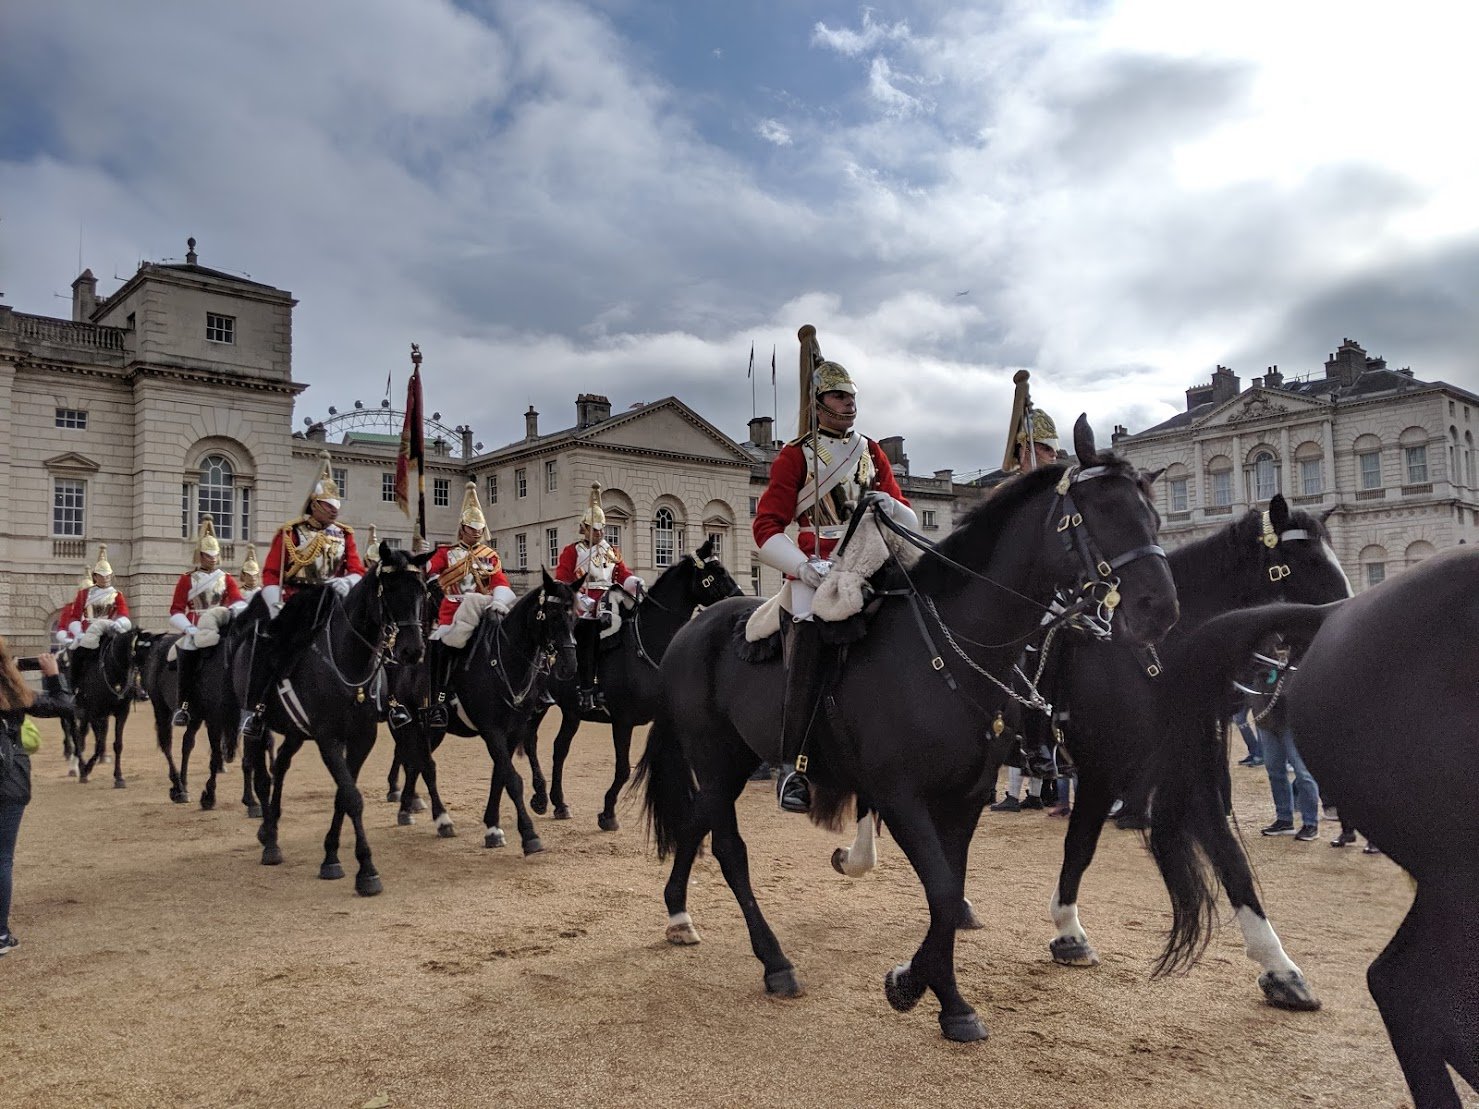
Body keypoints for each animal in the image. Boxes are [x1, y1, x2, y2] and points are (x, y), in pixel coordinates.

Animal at [72, 626, 151, 792]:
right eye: (138, 650)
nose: (144, 692)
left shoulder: (121, 713)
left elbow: (117, 744)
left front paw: (119, 777)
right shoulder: (96, 713)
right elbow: (100, 743)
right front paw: (86, 769)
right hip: (86, 712)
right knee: (80, 736)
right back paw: (82, 768)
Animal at [236, 544, 431, 899]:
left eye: (421, 590)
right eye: (389, 590)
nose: (412, 650)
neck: (349, 659)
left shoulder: (361, 739)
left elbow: (344, 794)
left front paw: (331, 856)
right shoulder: (328, 739)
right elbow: (352, 796)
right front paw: (367, 870)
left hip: (296, 732)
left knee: (280, 765)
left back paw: (271, 828)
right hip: (256, 723)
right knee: (261, 774)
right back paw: (269, 839)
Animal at [520, 538, 745, 833]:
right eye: (717, 570)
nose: (742, 599)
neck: (648, 642)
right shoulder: (622, 721)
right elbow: (623, 768)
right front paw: (608, 813)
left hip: (571, 712)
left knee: (559, 750)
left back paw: (559, 803)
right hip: (538, 705)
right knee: (531, 741)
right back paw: (540, 797)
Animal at [635, 419, 1177, 1046]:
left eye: (1153, 515)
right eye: (1101, 510)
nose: (1160, 610)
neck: (948, 643)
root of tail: (689, 634)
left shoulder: (966, 797)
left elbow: (949, 890)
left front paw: (934, 992)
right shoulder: (900, 796)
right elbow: (940, 890)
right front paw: (926, 988)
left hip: (739, 757)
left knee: (696, 822)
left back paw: (678, 913)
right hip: (716, 757)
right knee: (728, 847)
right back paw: (775, 961)